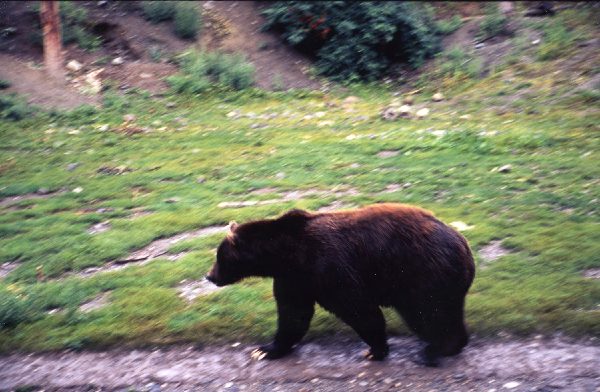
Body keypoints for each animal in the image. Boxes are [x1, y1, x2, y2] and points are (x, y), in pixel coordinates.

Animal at [206, 204, 474, 366]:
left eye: (220, 257)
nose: (210, 276)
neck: (286, 254)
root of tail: (463, 243)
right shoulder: (295, 278)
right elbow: (293, 314)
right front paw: (265, 350)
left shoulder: (326, 266)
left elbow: (357, 307)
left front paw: (375, 349)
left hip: (422, 273)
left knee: (428, 314)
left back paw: (436, 349)